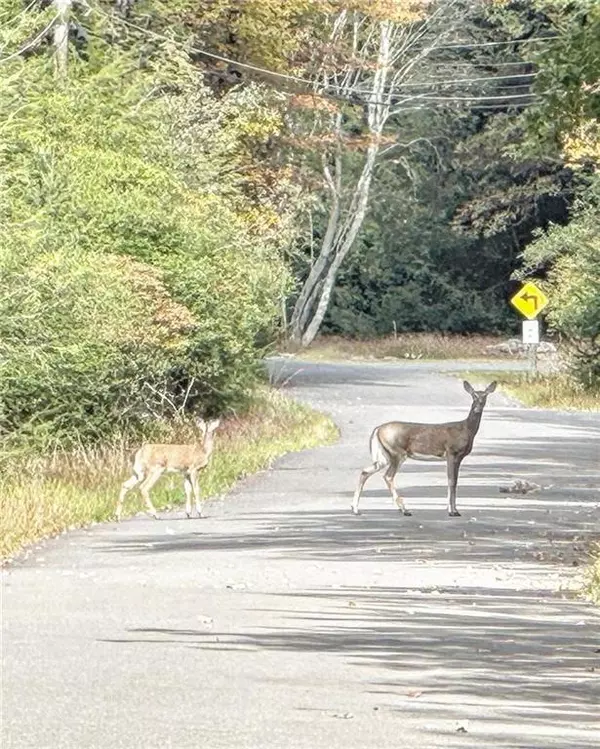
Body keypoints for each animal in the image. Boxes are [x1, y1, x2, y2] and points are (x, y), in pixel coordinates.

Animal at [352, 382, 496, 516]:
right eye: (473, 396)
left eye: (485, 396)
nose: (477, 408)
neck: (467, 430)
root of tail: (377, 429)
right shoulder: (452, 452)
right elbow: (452, 481)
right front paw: (452, 511)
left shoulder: (455, 456)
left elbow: (453, 480)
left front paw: (452, 509)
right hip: (396, 452)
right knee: (388, 476)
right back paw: (404, 509)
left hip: (384, 456)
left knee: (365, 471)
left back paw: (355, 509)